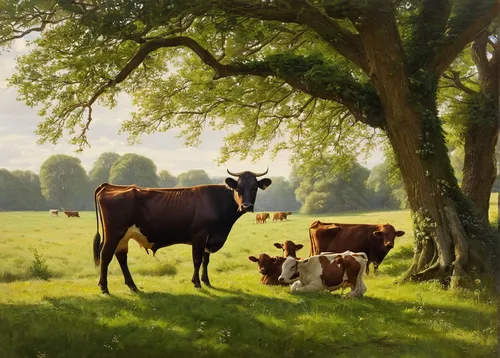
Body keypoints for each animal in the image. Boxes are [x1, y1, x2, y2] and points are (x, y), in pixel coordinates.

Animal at [95, 169, 272, 296]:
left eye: (254, 188)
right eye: (238, 188)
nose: (246, 206)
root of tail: (110, 186)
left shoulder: (209, 237)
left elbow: (206, 260)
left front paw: (206, 281)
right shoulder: (200, 234)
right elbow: (197, 260)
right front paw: (197, 283)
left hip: (124, 236)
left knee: (121, 257)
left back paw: (133, 286)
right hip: (114, 233)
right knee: (106, 255)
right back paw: (104, 288)